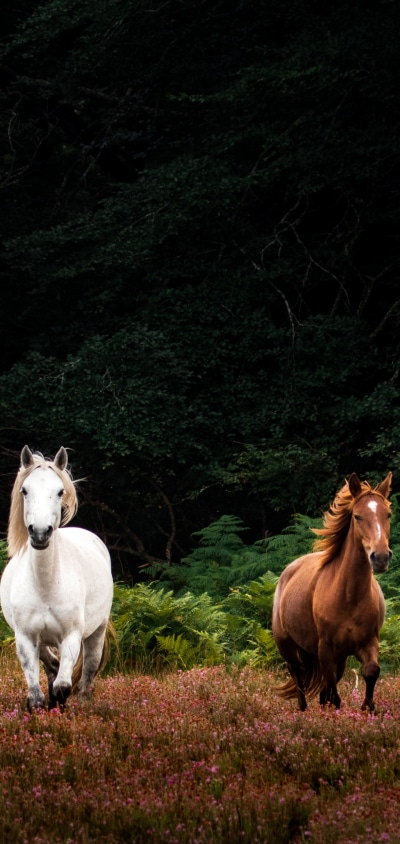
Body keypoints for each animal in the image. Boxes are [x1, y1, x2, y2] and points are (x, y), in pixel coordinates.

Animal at [0, 446, 114, 712]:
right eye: (25, 490)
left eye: (60, 491)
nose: (40, 533)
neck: (46, 585)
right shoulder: (26, 638)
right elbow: (36, 696)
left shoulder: (70, 637)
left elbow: (63, 687)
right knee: (51, 665)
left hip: (97, 631)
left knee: (87, 671)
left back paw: (83, 702)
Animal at [272, 472, 392, 712]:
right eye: (357, 516)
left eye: (388, 514)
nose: (381, 557)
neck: (349, 596)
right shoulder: (326, 649)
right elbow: (333, 694)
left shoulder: (368, 642)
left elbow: (371, 671)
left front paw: (368, 708)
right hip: (287, 645)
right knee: (297, 674)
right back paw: (303, 710)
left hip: (337, 655)